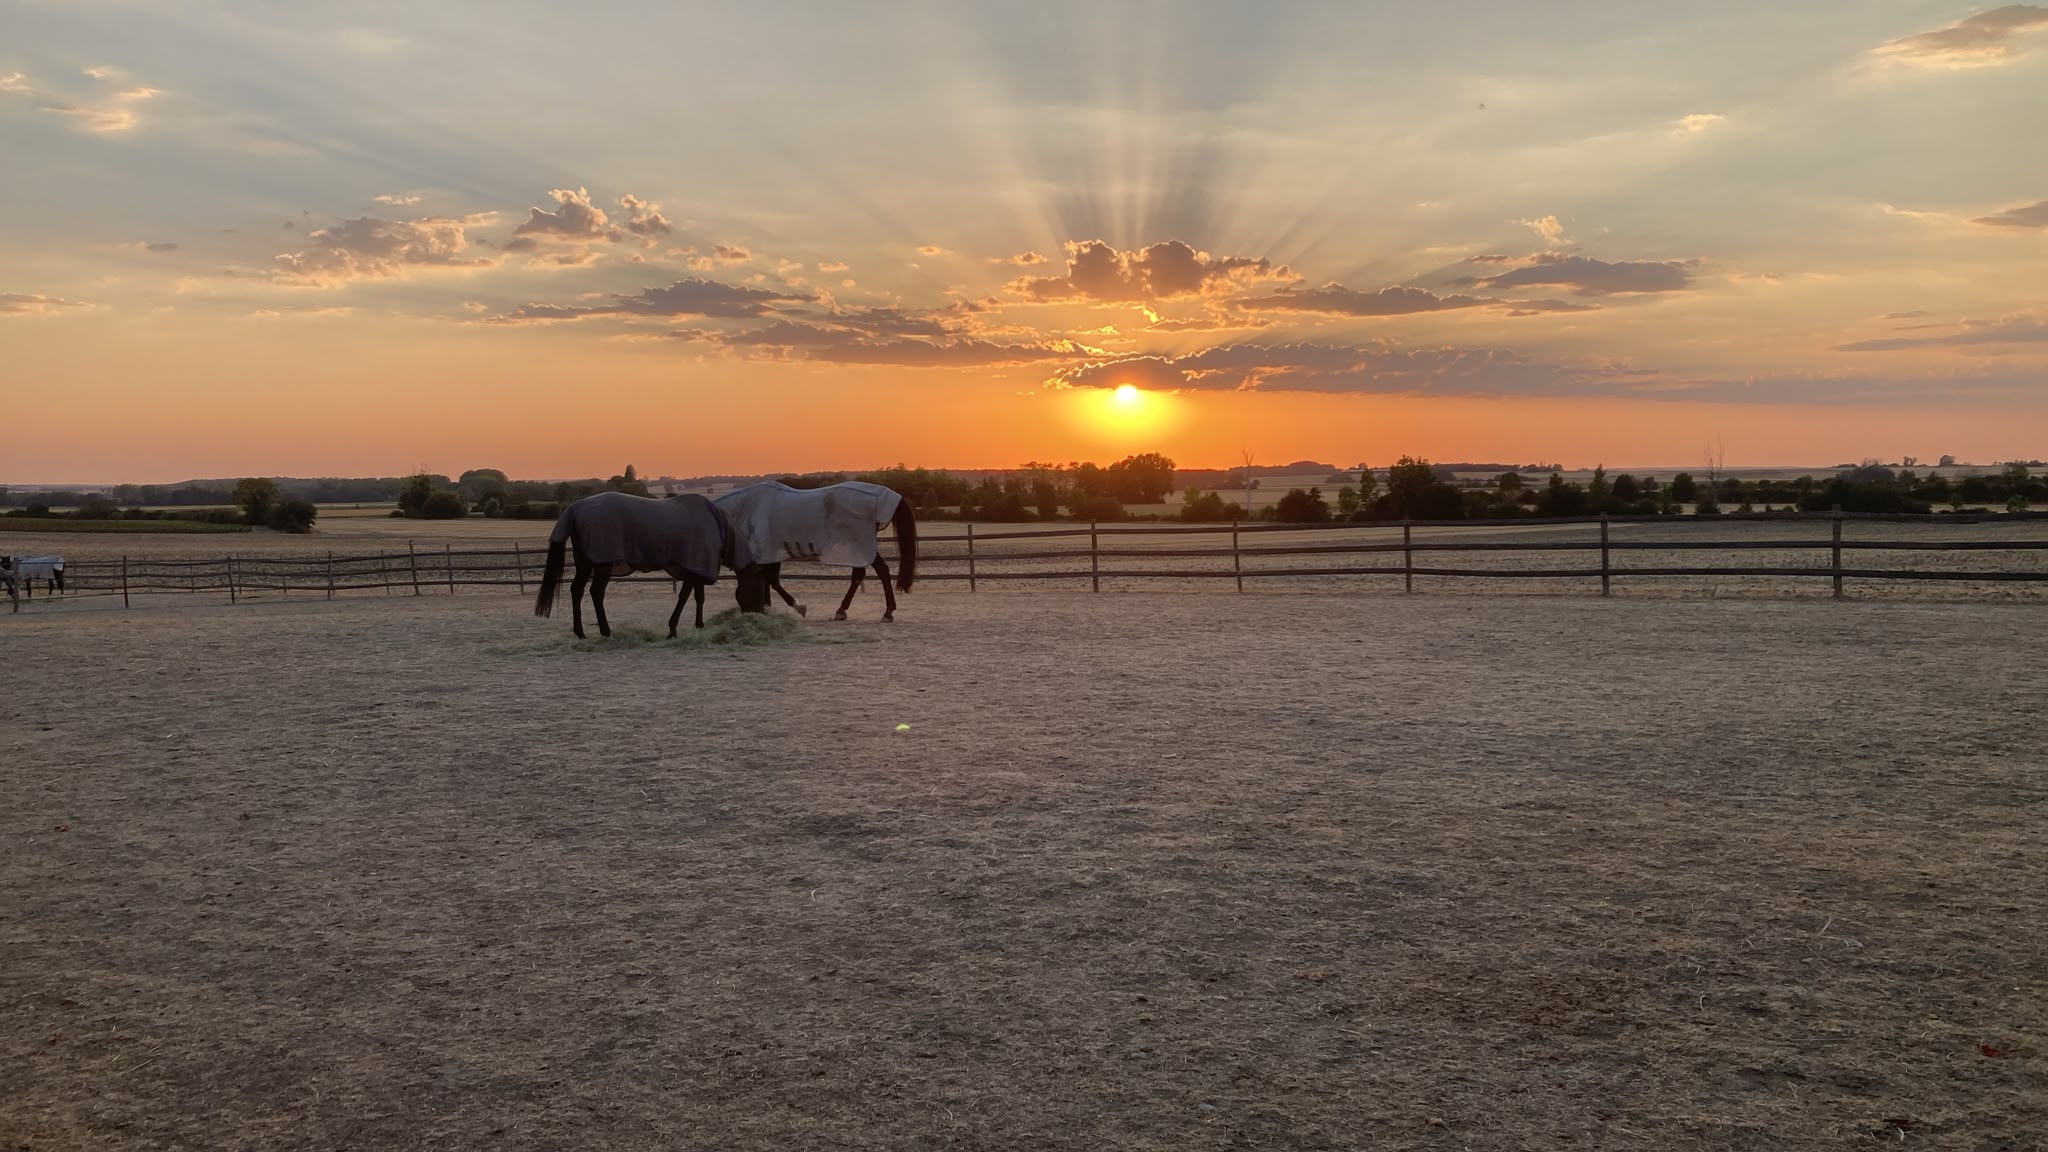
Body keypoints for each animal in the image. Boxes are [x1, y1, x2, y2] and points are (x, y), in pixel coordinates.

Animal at [532, 492, 750, 639]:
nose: (752, 613)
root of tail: (573, 509)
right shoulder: (693, 570)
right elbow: (683, 598)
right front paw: (672, 630)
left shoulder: (697, 569)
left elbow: (699, 598)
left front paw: (699, 626)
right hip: (603, 564)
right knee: (596, 592)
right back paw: (606, 631)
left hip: (585, 563)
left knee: (577, 590)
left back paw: (581, 633)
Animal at [715, 481, 917, 621]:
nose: (750, 613)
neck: (747, 506)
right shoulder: (770, 553)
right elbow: (769, 581)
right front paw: (771, 607)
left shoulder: (768, 551)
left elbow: (772, 581)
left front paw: (797, 607)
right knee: (864, 574)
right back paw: (846, 611)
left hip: (859, 547)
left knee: (878, 572)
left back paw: (884, 613)